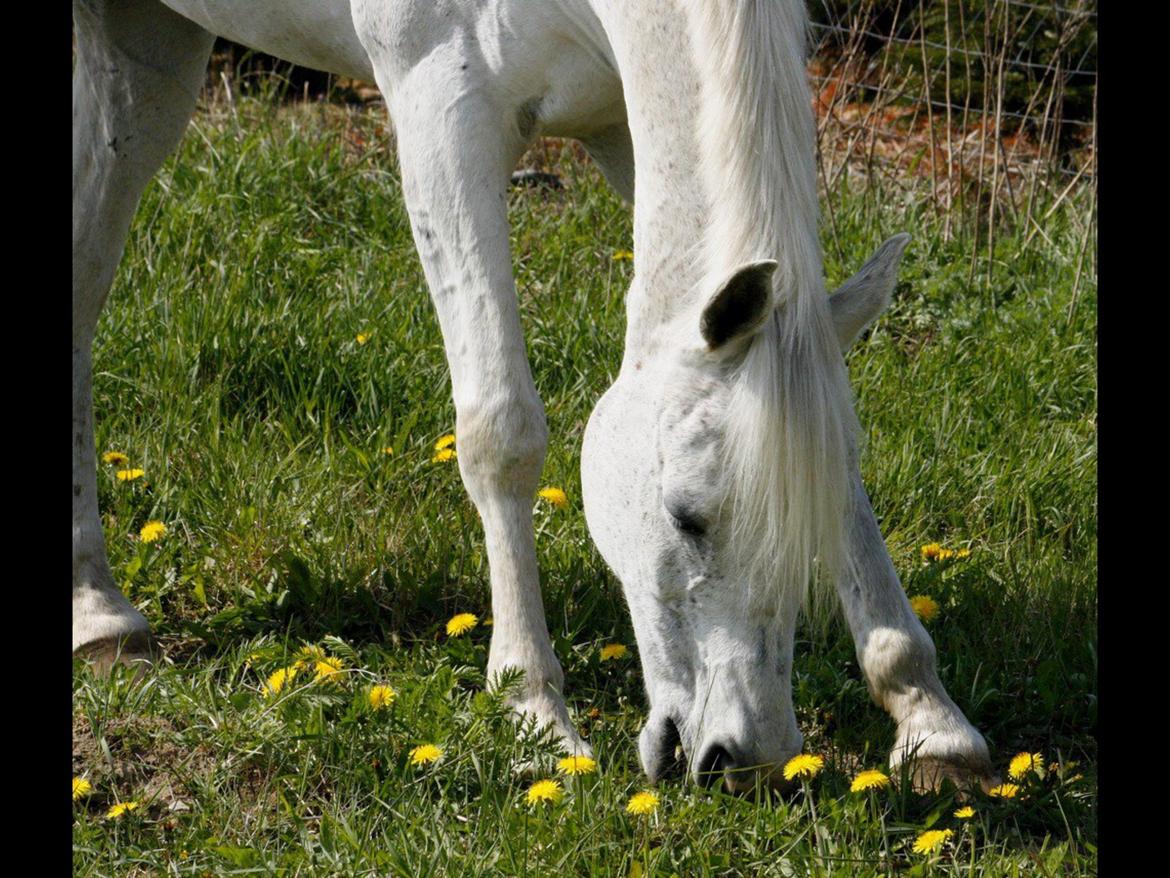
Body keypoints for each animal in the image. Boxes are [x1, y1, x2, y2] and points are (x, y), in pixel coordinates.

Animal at [73, 0, 992, 796]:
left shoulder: (624, 129)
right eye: (687, 517)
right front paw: (534, 709)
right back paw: (98, 609)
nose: (747, 758)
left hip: (148, 50)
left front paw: (929, 719)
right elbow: (500, 429)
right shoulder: (441, 113)